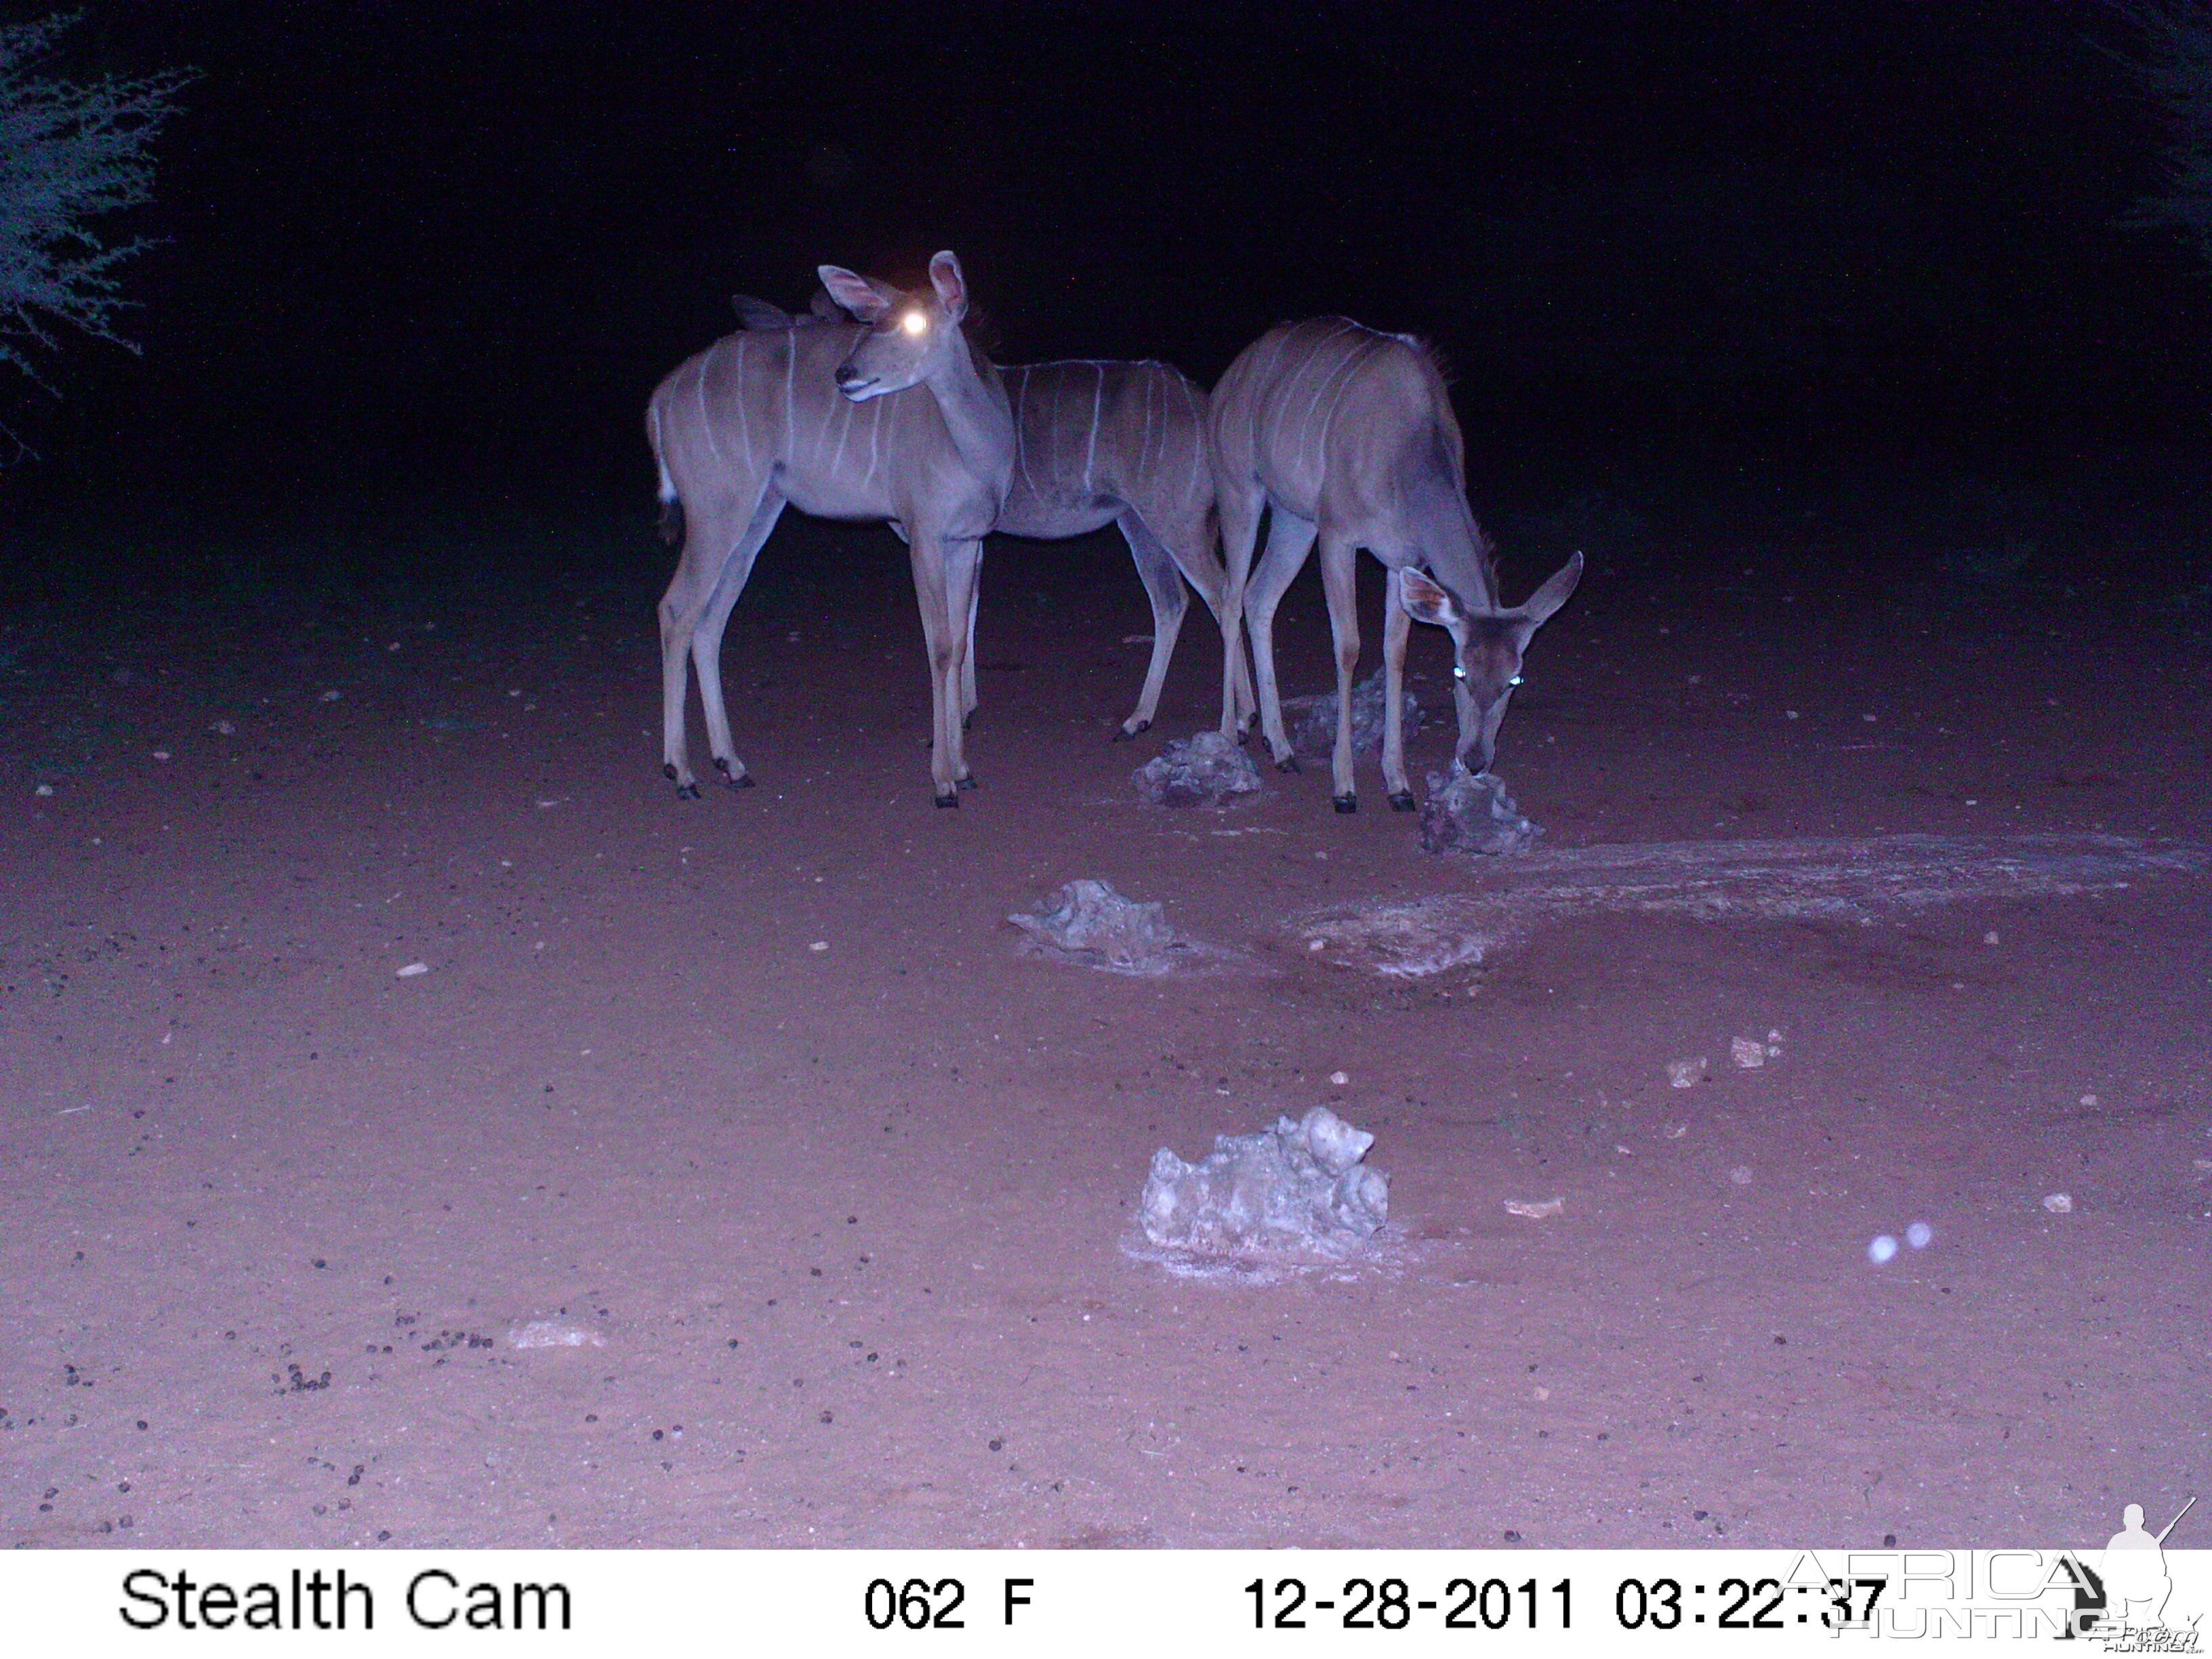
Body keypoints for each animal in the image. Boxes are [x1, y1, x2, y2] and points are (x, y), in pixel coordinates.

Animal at [646, 249, 1012, 814]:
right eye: (873, 320)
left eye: (914, 322)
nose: (847, 373)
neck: (977, 448)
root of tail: (660, 400)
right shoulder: (924, 534)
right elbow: (940, 646)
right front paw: (943, 782)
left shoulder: (967, 542)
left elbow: (955, 642)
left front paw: (964, 771)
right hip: (716, 510)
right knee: (676, 609)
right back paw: (681, 772)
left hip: (756, 514)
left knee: (709, 620)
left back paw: (732, 765)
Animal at [734, 296, 1256, 739]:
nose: (838, 379)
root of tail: (1205, 403)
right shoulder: (969, 537)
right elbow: (967, 613)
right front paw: (966, 709)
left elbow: (957, 617)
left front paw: (957, 721)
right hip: (1139, 522)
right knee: (1173, 601)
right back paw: (1142, 718)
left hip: (1175, 519)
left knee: (1222, 594)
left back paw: (1238, 721)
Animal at [1212, 319, 1574, 814]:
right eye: (1459, 671)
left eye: (1514, 679)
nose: (1475, 760)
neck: (1406, 454)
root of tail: (1226, 383)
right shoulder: (1338, 535)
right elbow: (1349, 646)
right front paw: (1344, 788)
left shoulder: (1402, 557)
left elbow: (1395, 652)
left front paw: (1399, 786)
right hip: (1241, 491)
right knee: (1230, 597)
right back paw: (1232, 734)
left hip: (1294, 517)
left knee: (1259, 595)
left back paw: (1281, 748)